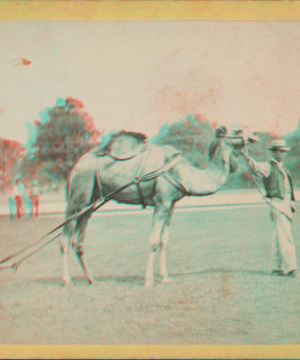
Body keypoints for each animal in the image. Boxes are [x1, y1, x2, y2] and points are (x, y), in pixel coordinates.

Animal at [59, 126, 256, 286]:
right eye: (238, 130)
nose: (254, 136)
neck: (185, 174)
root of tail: (74, 168)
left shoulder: (171, 204)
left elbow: (164, 241)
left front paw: (165, 277)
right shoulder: (161, 201)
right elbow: (153, 241)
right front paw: (148, 280)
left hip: (89, 202)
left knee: (78, 241)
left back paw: (92, 279)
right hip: (77, 196)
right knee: (64, 238)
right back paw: (67, 281)